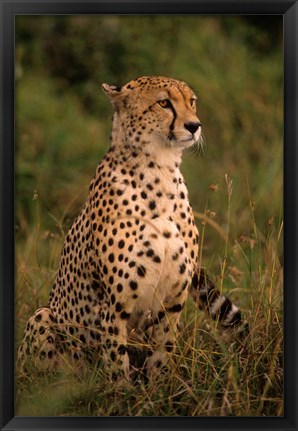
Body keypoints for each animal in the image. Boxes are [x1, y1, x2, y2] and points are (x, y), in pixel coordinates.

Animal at [19, 76, 247, 380]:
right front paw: (121, 388)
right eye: (164, 103)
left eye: (192, 102)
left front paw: (156, 386)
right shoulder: (115, 304)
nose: (194, 125)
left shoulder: (172, 302)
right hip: (43, 317)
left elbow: (163, 351)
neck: (160, 171)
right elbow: (116, 360)